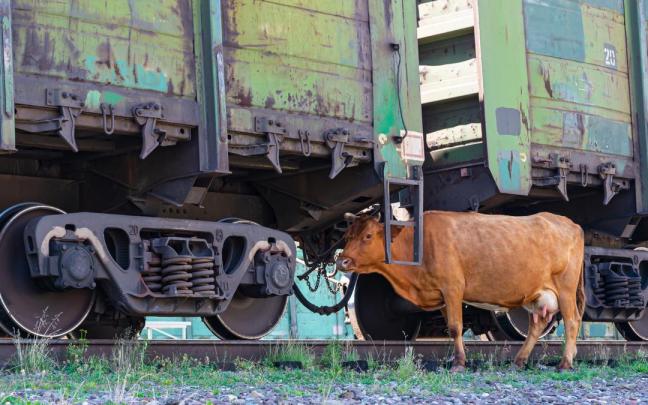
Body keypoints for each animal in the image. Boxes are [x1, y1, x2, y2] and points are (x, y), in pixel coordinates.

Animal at [336, 210, 585, 371]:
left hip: (565, 289)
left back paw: (565, 363)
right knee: (537, 325)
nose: (342, 261)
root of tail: (569, 223)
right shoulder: (441, 296)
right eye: (347, 237)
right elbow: (450, 328)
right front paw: (457, 359)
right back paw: (519, 360)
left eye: (368, 236)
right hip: (537, 295)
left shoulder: (453, 287)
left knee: (572, 320)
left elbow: (456, 327)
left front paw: (458, 363)